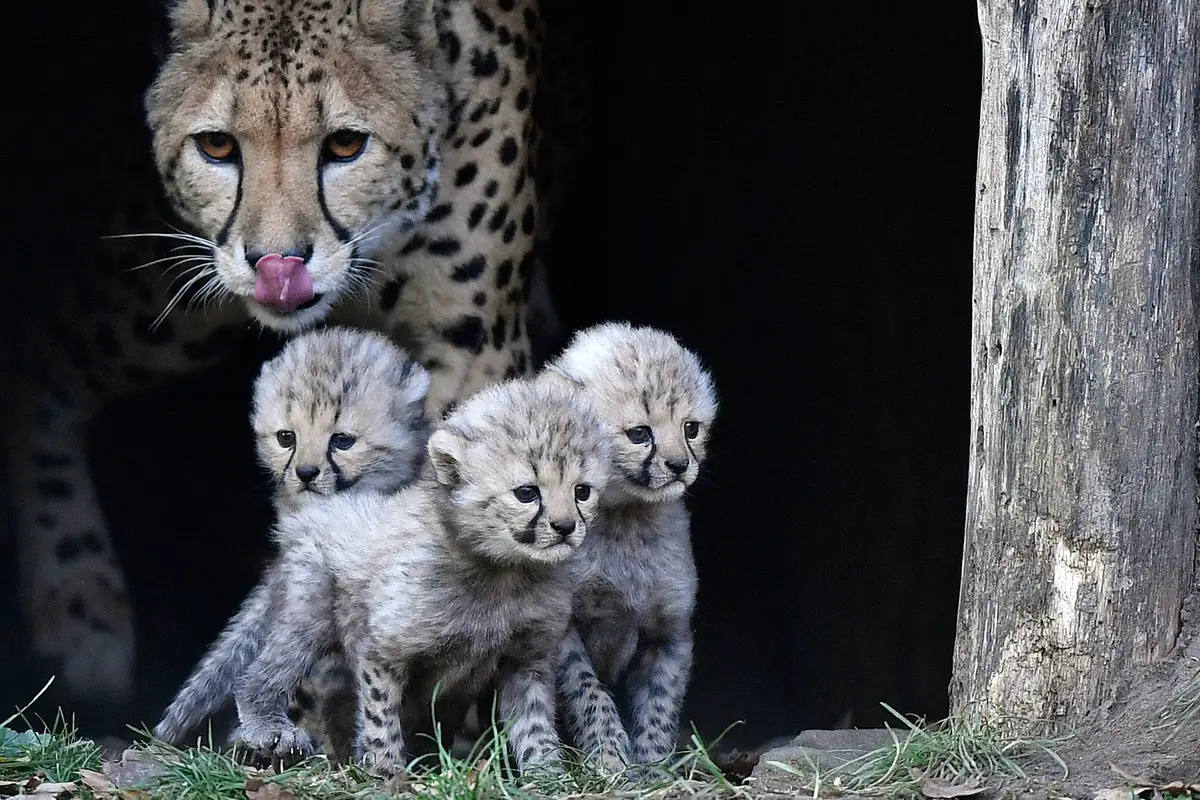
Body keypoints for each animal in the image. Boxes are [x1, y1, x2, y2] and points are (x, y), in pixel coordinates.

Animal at [3, 0, 590, 707]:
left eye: (345, 144)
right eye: (217, 146)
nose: (276, 265)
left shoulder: (471, 349)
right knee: (38, 353)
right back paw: (77, 597)